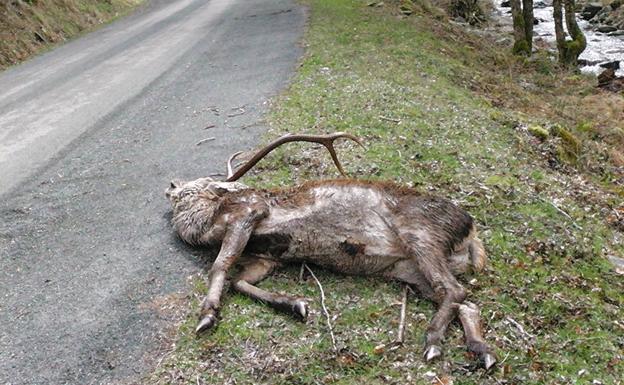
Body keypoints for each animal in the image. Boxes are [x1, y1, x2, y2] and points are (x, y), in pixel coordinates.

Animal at [166, 133, 498, 368]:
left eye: (199, 183)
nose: (170, 184)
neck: (206, 225)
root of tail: (472, 234)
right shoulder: (266, 257)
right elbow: (239, 281)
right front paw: (296, 304)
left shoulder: (249, 211)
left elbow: (221, 266)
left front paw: (207, 316)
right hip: (411, 271)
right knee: (465, 301)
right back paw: (484, 351)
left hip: (420, 235)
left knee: (455, 290)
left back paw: (433, 342)